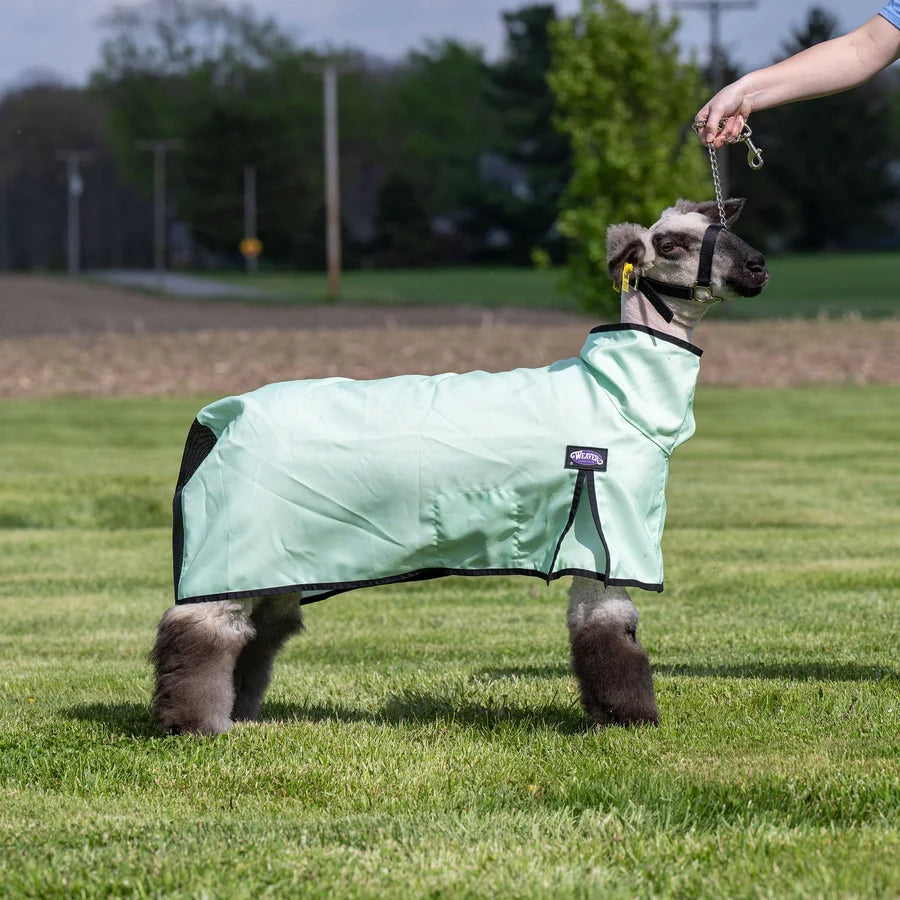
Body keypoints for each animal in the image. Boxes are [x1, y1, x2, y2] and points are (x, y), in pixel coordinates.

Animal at [151, 197, 769, 734]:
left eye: (719, 227)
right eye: (671, 243)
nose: (759, 266)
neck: (617, 393)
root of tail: (217, 418)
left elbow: (595, 629)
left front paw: (608, 717)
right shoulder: (610, 535)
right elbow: (612, 631)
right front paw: (630, 721)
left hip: (279, 557)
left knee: (260, 633)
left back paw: (238, 713)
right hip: (236, 538)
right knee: (205, 628)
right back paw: (194, 724)